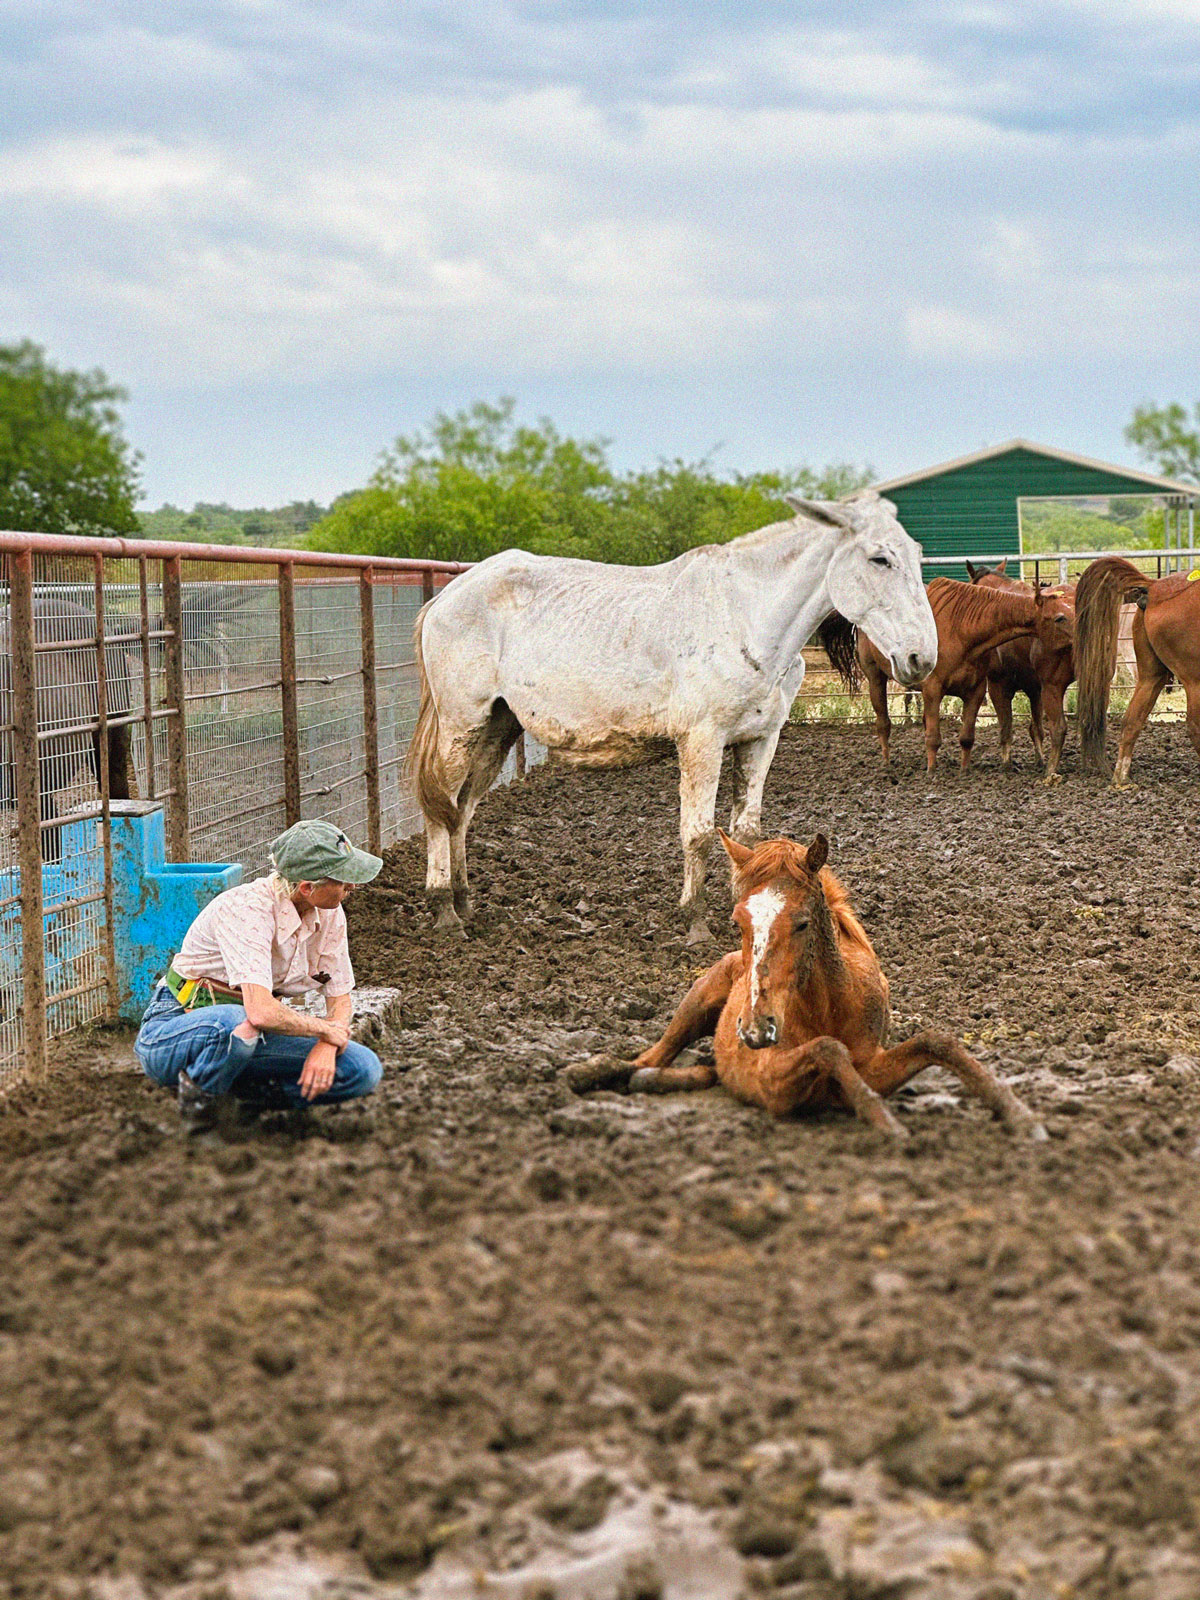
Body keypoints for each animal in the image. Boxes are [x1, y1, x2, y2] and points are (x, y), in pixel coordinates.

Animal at [405, 492, 938, 943]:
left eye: (915, 555)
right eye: (880, 559)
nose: (921, 658)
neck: (746, 617)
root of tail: (446, 596)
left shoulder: (761, 740)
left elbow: (745, 833)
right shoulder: (701, 741)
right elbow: (699, 834)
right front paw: (696, 922)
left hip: (497, 728)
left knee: (463, 809)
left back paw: (464, 899)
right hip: (461, 726)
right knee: (441, 809)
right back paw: (445, 910)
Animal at [608, 832, 1043, 1138]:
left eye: (802, 923)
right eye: (738, 920)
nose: (754, 1029)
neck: (831, 1005)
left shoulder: (873, 1065)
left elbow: (938, 1042)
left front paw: (1020, 1115)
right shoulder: (770, 1084)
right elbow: (828, 1049)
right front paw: (887, 1123)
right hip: (696, 1004)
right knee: (647, 1060)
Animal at [858, 577, 1044, 771]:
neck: (960, 632)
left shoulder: (976, 691)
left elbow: (967, 737)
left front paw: (964, 770)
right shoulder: (934, 689)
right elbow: (933, 738)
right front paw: (932, 771)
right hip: (875, 677)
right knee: (883, 722)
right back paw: (886, 763)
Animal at [967, 560, 1076, 783]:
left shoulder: (998, 685)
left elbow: (1006, 728)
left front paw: (1007, 764)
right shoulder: (1035, 689)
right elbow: (1036, 729)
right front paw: (1039, 759)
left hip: (1053, 687)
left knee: (1059, 727)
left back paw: (1051, 771)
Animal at [1075, 555, 1200, 786]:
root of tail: (1155, 588)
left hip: (1151, 676)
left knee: (1132, 720)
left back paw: (1121, 778)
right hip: (1193, 678)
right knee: (1195, 725)